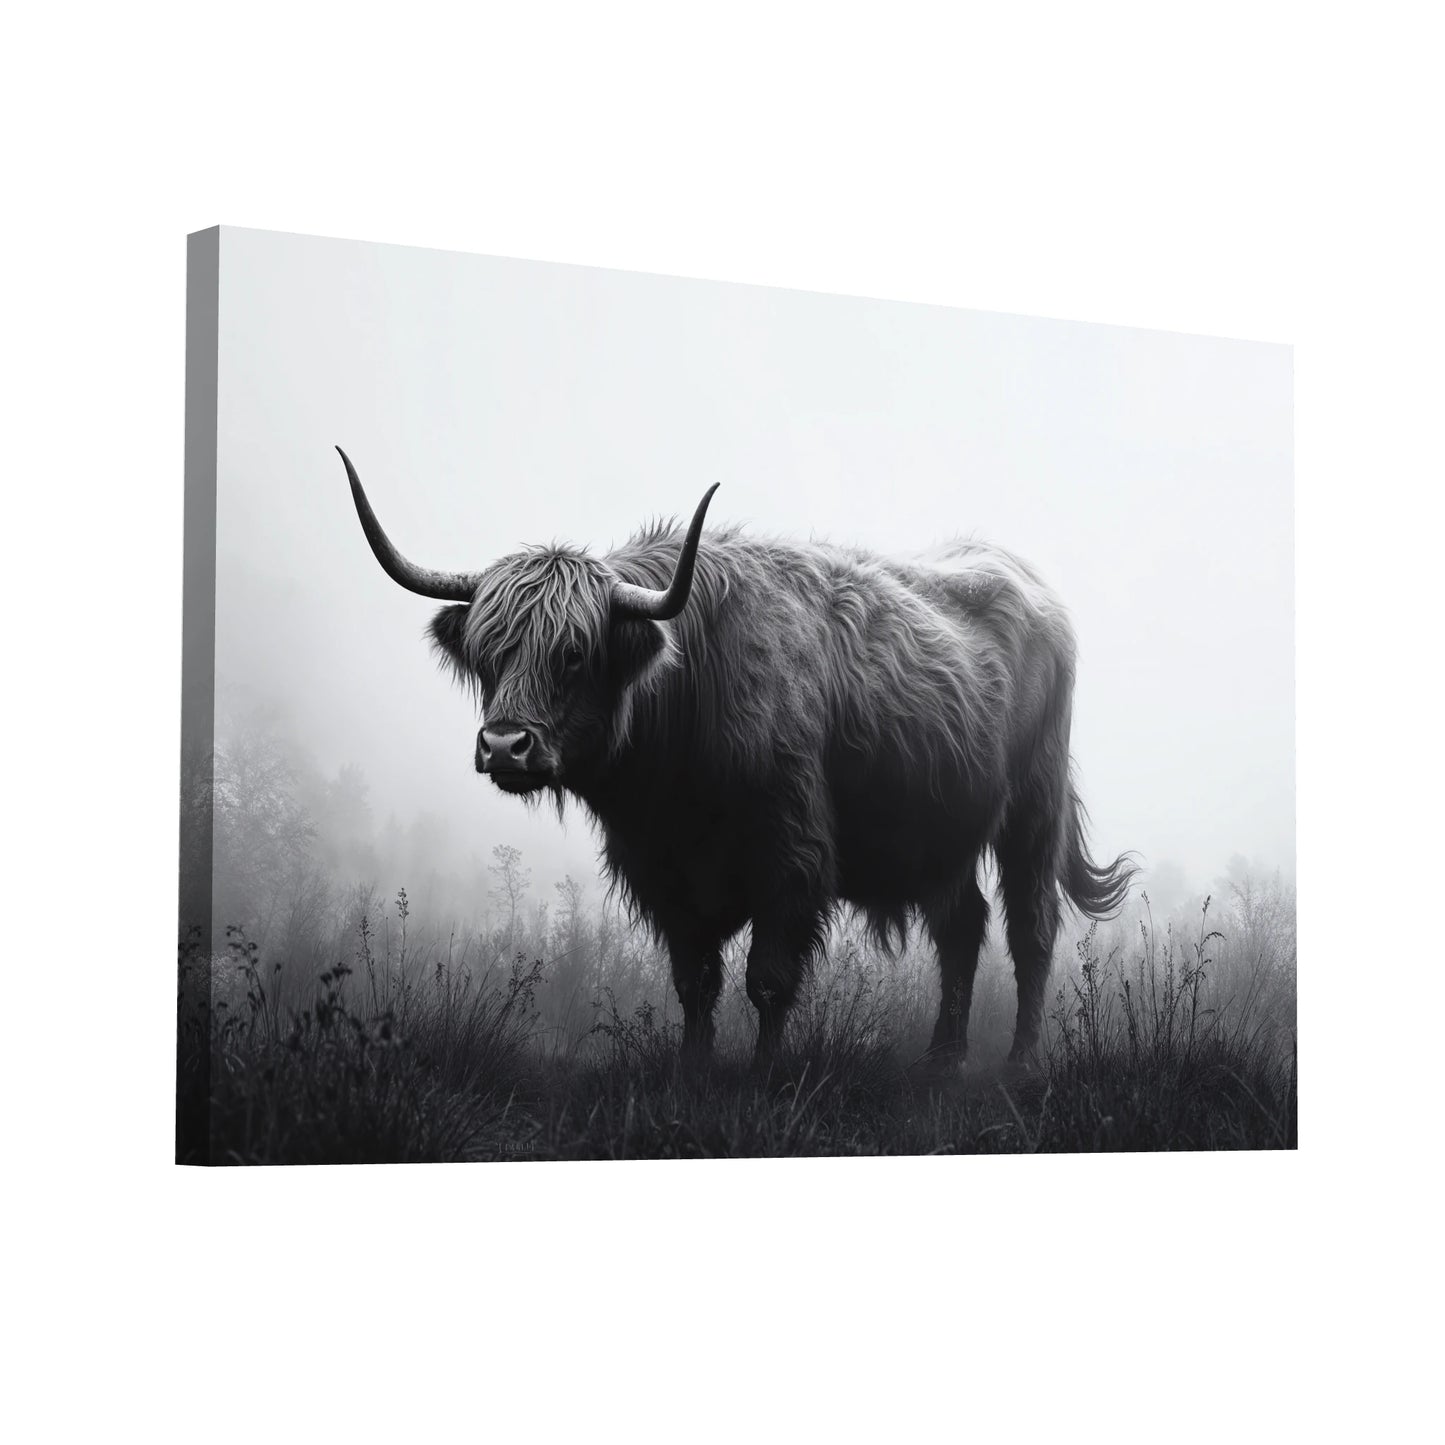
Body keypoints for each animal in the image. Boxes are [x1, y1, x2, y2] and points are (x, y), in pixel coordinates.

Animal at [337, 446, 1135, 1069]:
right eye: (488, 653)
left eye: (575, 653)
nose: (505, 744)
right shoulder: (660, 869)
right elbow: (695, 982)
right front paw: (695, 1072)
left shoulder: (792, 855)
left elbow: (768, 978)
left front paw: (762, 1075)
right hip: (939, 827)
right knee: (961, 925)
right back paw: (942, 1058)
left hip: (1032, 805)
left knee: (1030, 926)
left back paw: (1019, 1061)